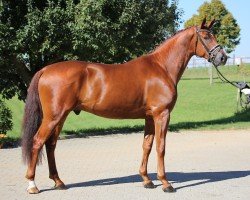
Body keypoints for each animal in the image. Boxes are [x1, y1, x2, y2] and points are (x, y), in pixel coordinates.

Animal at [22, 18, 227, 194]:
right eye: (206, 36)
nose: (222, 58)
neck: (162, 67)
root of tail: (45, 69)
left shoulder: (149, 116)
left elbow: (147, 145)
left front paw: (147, 180)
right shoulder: (162, 114)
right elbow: (161, 147)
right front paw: (166, 183)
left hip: (61, 117)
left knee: (50, 145)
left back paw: (58, 182)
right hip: (54, 116)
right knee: (37, 142)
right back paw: (32, 185)